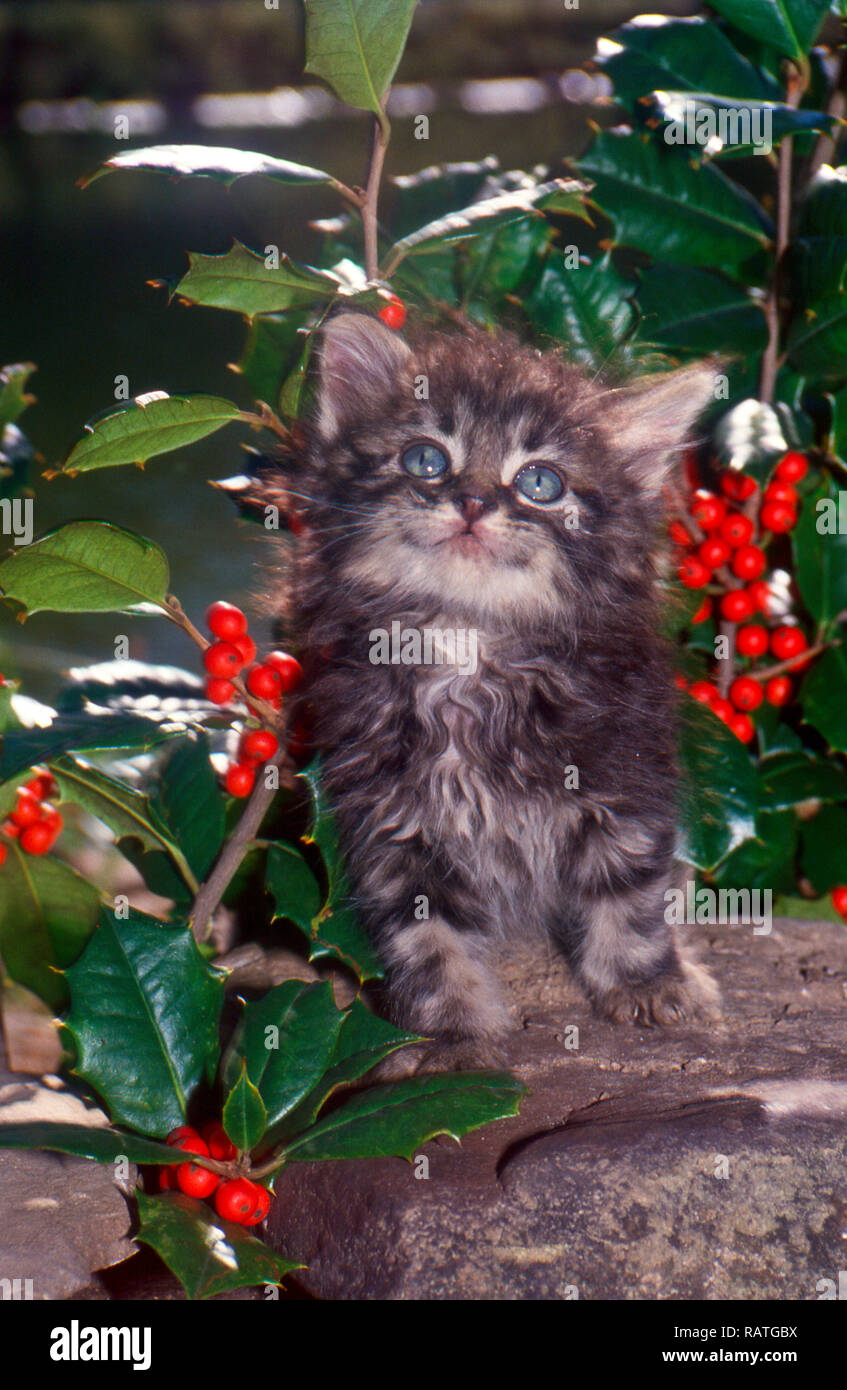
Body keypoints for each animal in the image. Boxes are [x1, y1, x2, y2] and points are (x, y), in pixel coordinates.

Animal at [267, 312, 717, 1073]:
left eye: (539, 481)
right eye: (426, 459)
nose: (473, 501)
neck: (467, 644)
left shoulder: (624, 780)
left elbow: (629, 893)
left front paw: (647, 982)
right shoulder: (393, 822)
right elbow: (427, 941)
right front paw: (450, 1035)